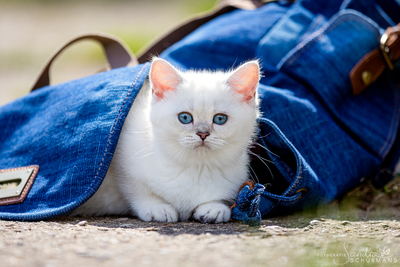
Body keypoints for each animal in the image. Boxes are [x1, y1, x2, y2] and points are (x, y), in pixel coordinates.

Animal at [71, 58, 260, 224]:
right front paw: (157, 208)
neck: (196, 167)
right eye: (185, 117)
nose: (202, 133)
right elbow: (137, 189)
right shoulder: (122, 155)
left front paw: (214, 207)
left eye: (220, 119)